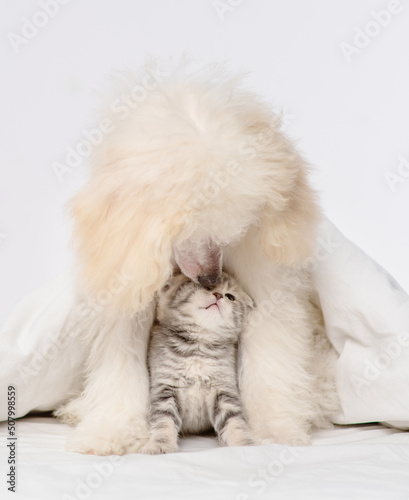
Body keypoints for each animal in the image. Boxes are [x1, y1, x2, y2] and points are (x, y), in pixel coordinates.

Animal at [141, 272, 255, 456]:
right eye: (206, 287)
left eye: (230, 297)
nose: (218, 295)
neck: (198, 346)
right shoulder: (166, 387)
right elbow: (164, 421)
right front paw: (160, 444)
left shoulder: (223, 389)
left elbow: (234, 421)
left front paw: (245, 444)